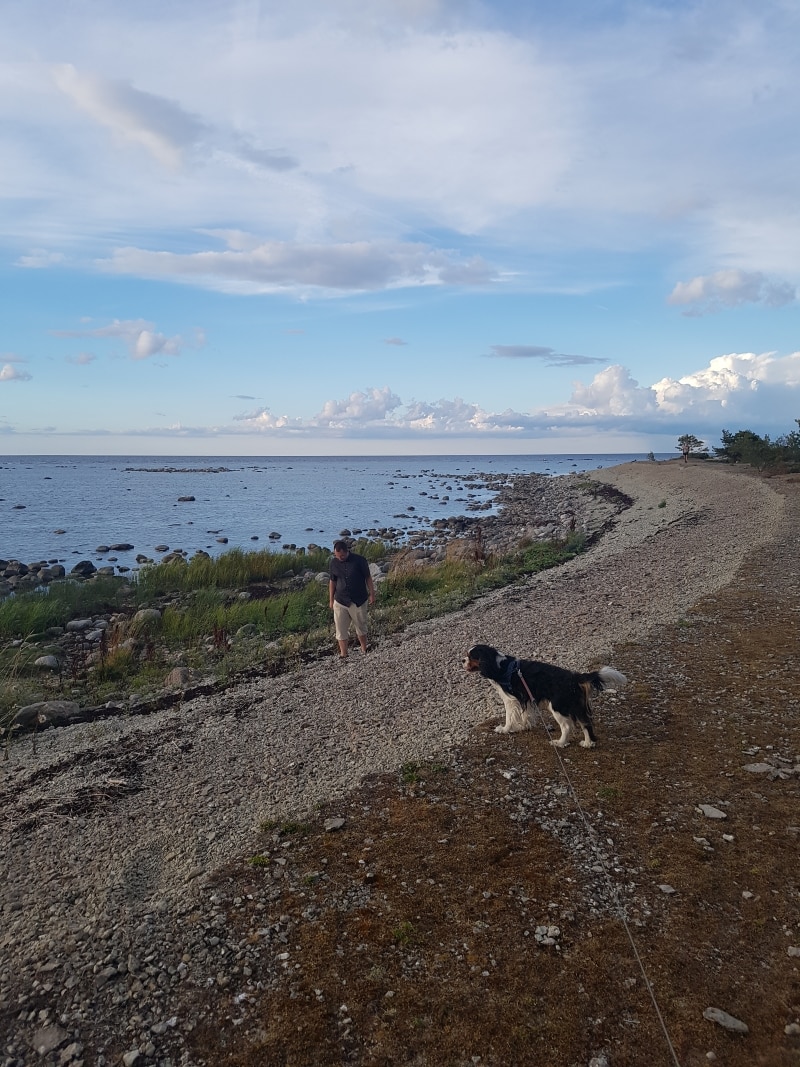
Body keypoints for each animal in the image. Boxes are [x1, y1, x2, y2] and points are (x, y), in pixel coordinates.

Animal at [467, 640, 631, 751]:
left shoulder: (511, 700)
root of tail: (574, 677)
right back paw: (588, 743)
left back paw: (560, 743)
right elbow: (526, 715)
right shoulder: (525, 698)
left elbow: (510, 717)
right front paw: (523, 726)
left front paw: (505, 729)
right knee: (586, 723)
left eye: (470, 657)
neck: (500, 666)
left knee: (567, 726)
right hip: (576, 705)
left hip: (557, 706)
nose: (462, 660)